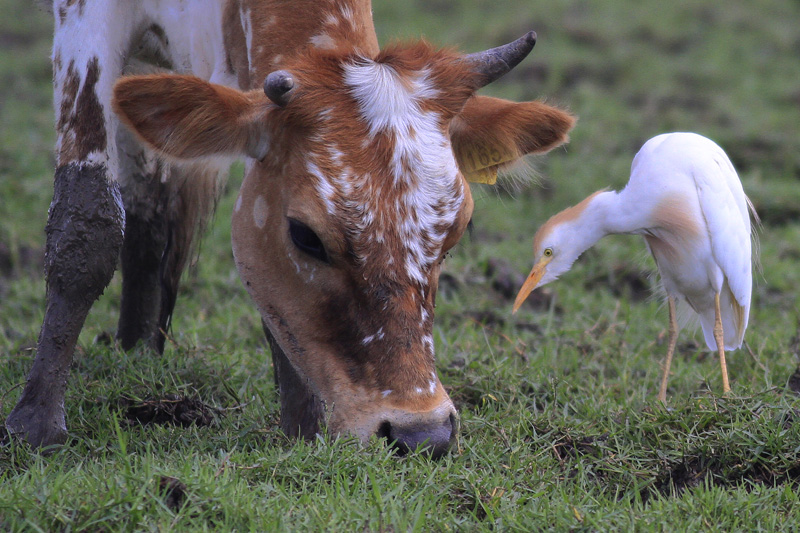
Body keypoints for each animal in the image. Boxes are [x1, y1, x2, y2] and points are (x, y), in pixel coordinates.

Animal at [3, 1, 572, 458]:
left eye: (458, 229)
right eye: (305, 236)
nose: (422, 434)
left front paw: (302, 427)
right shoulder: (85, 19)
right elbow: (88, 216)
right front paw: (36, 423)